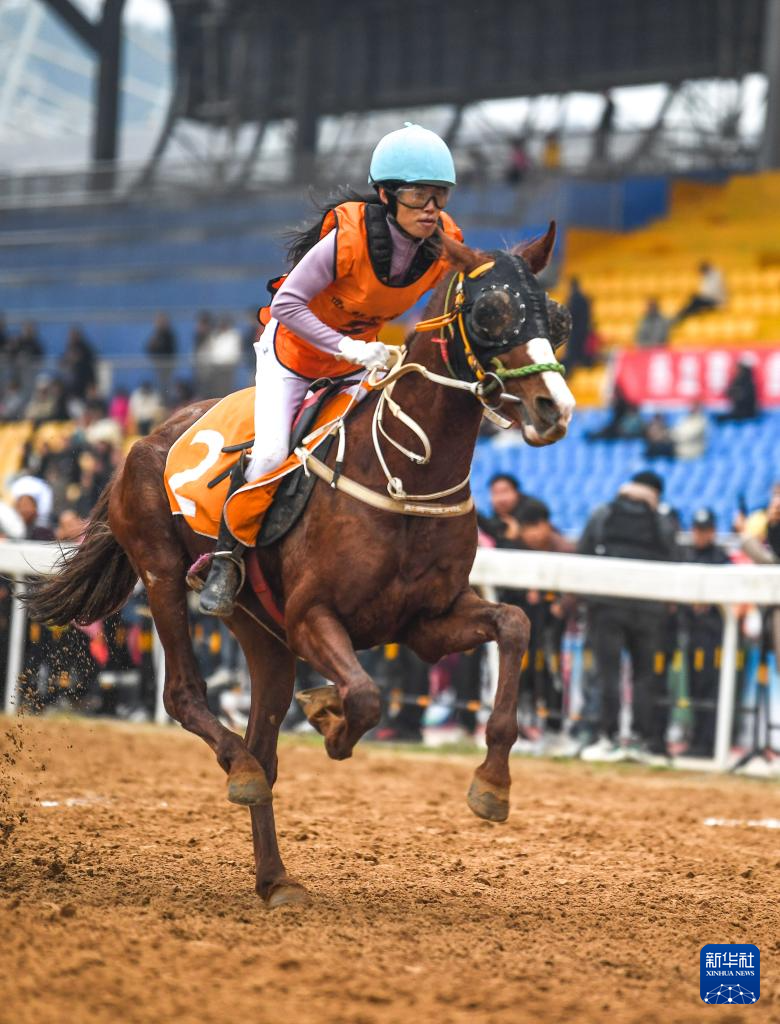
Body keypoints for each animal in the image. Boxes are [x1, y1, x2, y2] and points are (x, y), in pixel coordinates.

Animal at [25, 224, 575, 908]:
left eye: (557, 316)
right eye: (491, 310)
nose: (555, 409)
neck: (406, 476)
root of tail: (141, 443)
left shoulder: (427, 622)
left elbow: (516, 625)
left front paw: (492, 784)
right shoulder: (314, 614)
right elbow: (365, 696)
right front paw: (330, 715)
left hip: (261, 633)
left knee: (265, 747)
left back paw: (275, 876)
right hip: (161, 574)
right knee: (187, 697)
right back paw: (241, 771)